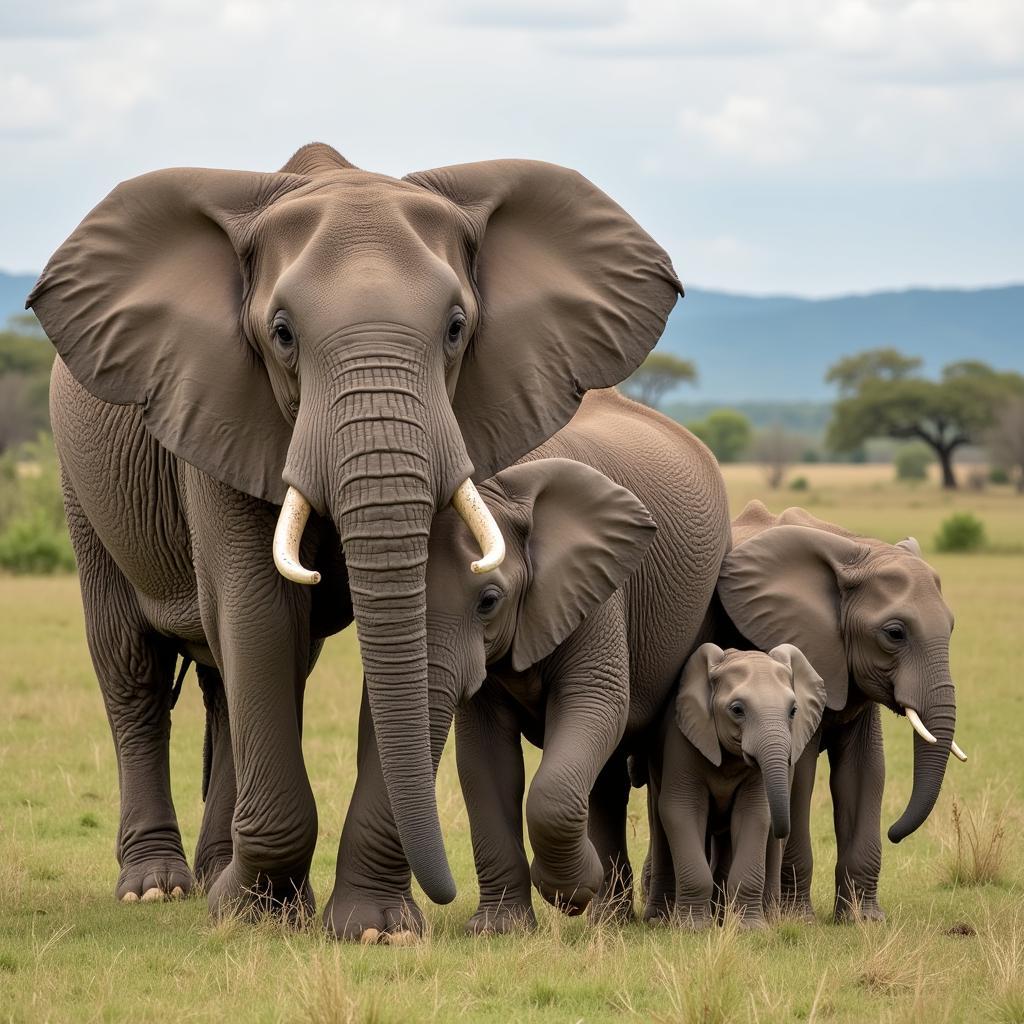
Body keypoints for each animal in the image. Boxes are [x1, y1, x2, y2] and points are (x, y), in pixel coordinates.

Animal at [29, 140, 679, 917]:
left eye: (456, 328)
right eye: (282, 334)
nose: (447, 894)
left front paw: (374, 924)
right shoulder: (220, 409)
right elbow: (259, 611)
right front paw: (256, 916)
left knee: (226, 687)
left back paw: (218, 874)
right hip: (81, 485)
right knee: (134, 667)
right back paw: (160, 888)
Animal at [325, 387, 729, 937]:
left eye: (488, 601)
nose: (441, 900)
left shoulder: (598, 586)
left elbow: (594, 705)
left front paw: (570, 891)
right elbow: (484, 761)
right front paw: (500, 929)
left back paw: (638, 914)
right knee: (605, 780)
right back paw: (607, 917)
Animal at [651, 647, 827, 929]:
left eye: (793, 711)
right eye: (737, 709)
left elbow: (754, 813)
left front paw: (751, 929)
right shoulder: (683, 738)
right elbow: (681, 809)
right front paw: (693, 929)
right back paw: (661, 920)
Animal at [708, 501, 962, 921]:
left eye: (952, 628)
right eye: (895, 634)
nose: (895, 833)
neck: (857, 550)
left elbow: (865, 769)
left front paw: (864, 920)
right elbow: (800, 774)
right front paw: (798, 919)